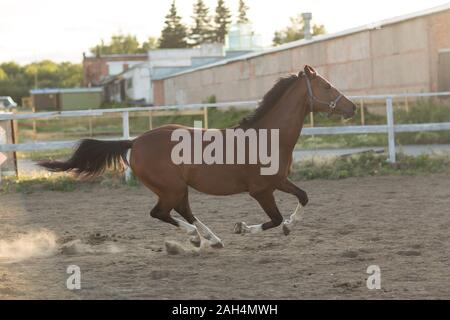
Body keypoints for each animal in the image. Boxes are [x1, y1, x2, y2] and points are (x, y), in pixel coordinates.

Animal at [39, 65, 356, 249]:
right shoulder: (261, 189)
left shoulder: (280, 180)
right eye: (326, 86)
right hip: (171, 188)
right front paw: (244, 228)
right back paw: (196, 236)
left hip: (177, 188)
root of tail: (135, 141)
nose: (352, 107)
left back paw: (211, 238)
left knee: (181, 211)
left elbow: (303, 197)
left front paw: (290, 226)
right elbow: (275, 218)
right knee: (161, 213)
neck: (268, 136)